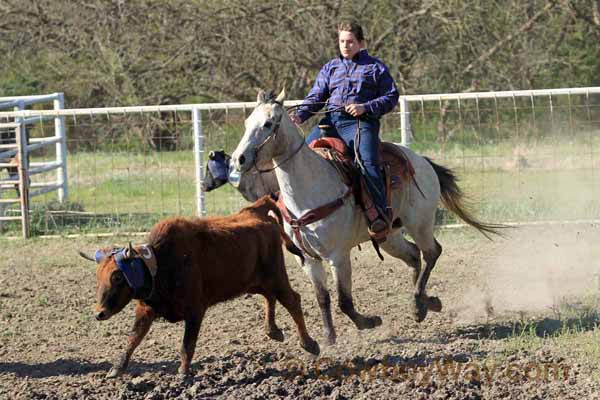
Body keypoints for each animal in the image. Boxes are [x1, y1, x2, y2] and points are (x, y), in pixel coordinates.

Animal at [83, 197, 324, 378]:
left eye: (117, 277)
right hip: (254, 281)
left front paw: (183, 373)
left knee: (292, 301)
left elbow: (186, 345)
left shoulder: (195, 311)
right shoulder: (145, 309)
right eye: (98, 277)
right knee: (269, 297)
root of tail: (258, 211)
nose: (99, 313)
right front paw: (116, 368)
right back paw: (272, 330)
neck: (161, 263)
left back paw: (309, 344)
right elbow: (133, 338)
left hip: (276, 276)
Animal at [232, 90, 504, 344]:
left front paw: (369, 322)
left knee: (431, 252)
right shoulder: (308, 259)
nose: (238, 159)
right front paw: (329, 338)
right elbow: (322, 298)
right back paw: (427, 302)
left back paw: (418, 305)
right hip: (389, 235)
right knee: (414, 255)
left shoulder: (338, 257)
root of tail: (421, 161)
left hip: (420, 223)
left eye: (268, 123)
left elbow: (344, 301)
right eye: (246, 122)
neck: (309, 189)